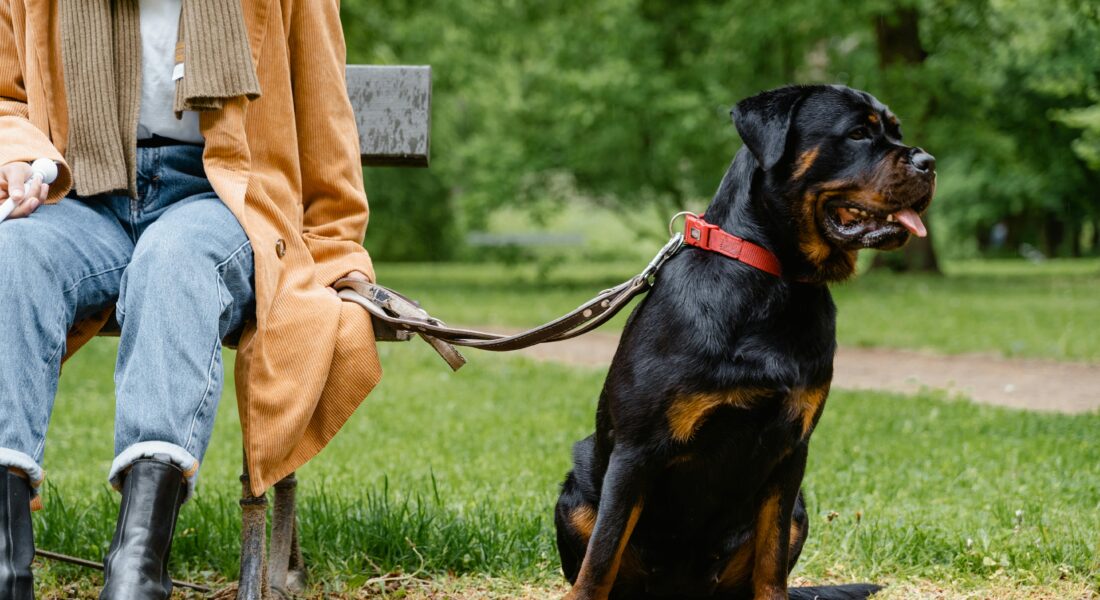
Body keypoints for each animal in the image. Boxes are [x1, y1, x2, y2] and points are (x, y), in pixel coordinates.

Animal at [554, 84, 932, 598]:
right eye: (857, 133)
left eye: (895, 130)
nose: (928, 161)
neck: (775, 279)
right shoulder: (636, 451)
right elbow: (601, 557)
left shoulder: (791, 450)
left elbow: (771, 561)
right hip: (576, 495)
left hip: (800, 510)